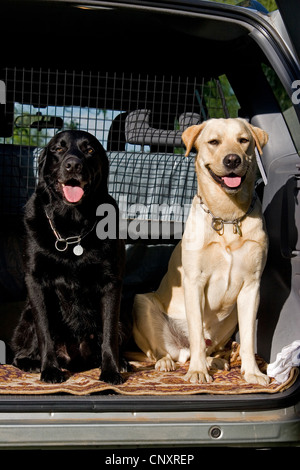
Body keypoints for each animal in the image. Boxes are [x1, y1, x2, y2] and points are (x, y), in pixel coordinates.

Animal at [12, 129, 129, 386]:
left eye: (89, 149)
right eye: (58, 148)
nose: (73, 164)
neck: (72, 226)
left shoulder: (111, 283)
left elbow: (108, 335)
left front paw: (111, 370)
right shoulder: (35, 281)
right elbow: (44, 331)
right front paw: (49, 370)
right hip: (27, 315)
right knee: (20, 353)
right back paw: (32, 363)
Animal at [134, 117, 270, 386]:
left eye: (243, 140)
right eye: (213, 142)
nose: (232, 160)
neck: (227, 217)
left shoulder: (252, 287)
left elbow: (248, 338)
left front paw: (252, 372)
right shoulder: (194, 282)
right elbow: (196, 332)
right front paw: (197, 372)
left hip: (230, 319)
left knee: (208, 349)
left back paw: (215, 361)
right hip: (141, 302)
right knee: (166, 352)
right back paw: (168, 362)